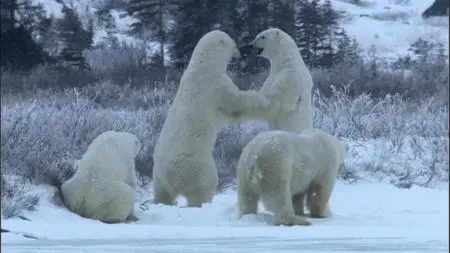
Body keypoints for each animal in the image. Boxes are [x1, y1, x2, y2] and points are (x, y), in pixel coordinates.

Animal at [152, 29, 278, 208]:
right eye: (234, 44)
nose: (240, 53)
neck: (203, 65)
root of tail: (170, 176)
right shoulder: (215, 85)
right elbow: (236, 101)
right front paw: (262, 101)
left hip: (158, 176)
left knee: (162, 193)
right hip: (196, 167)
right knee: (203, 187)